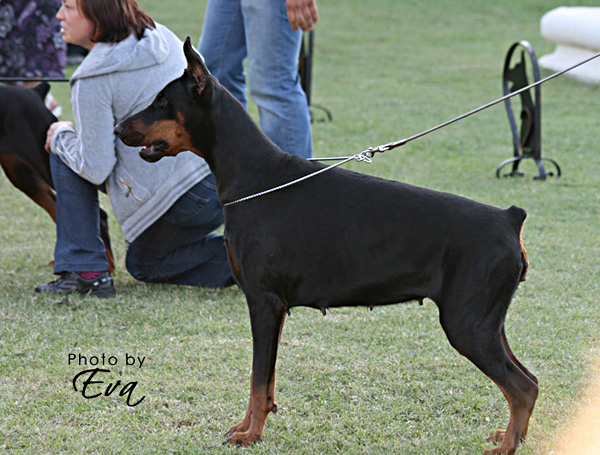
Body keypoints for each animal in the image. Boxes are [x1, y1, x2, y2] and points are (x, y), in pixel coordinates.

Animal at [115, 38, 538, 455]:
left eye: (161, 101)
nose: (117, 127)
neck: (253, 177)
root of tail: (509, 219)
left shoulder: (263, 302)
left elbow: (257, 379)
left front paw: (249, 435)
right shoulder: (276, 308)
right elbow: (265, 381)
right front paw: (248, 426)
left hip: (467, 323)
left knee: (521, 387)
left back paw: (506, 446)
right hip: (487, 322)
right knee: (530, 381)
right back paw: (509, 436)